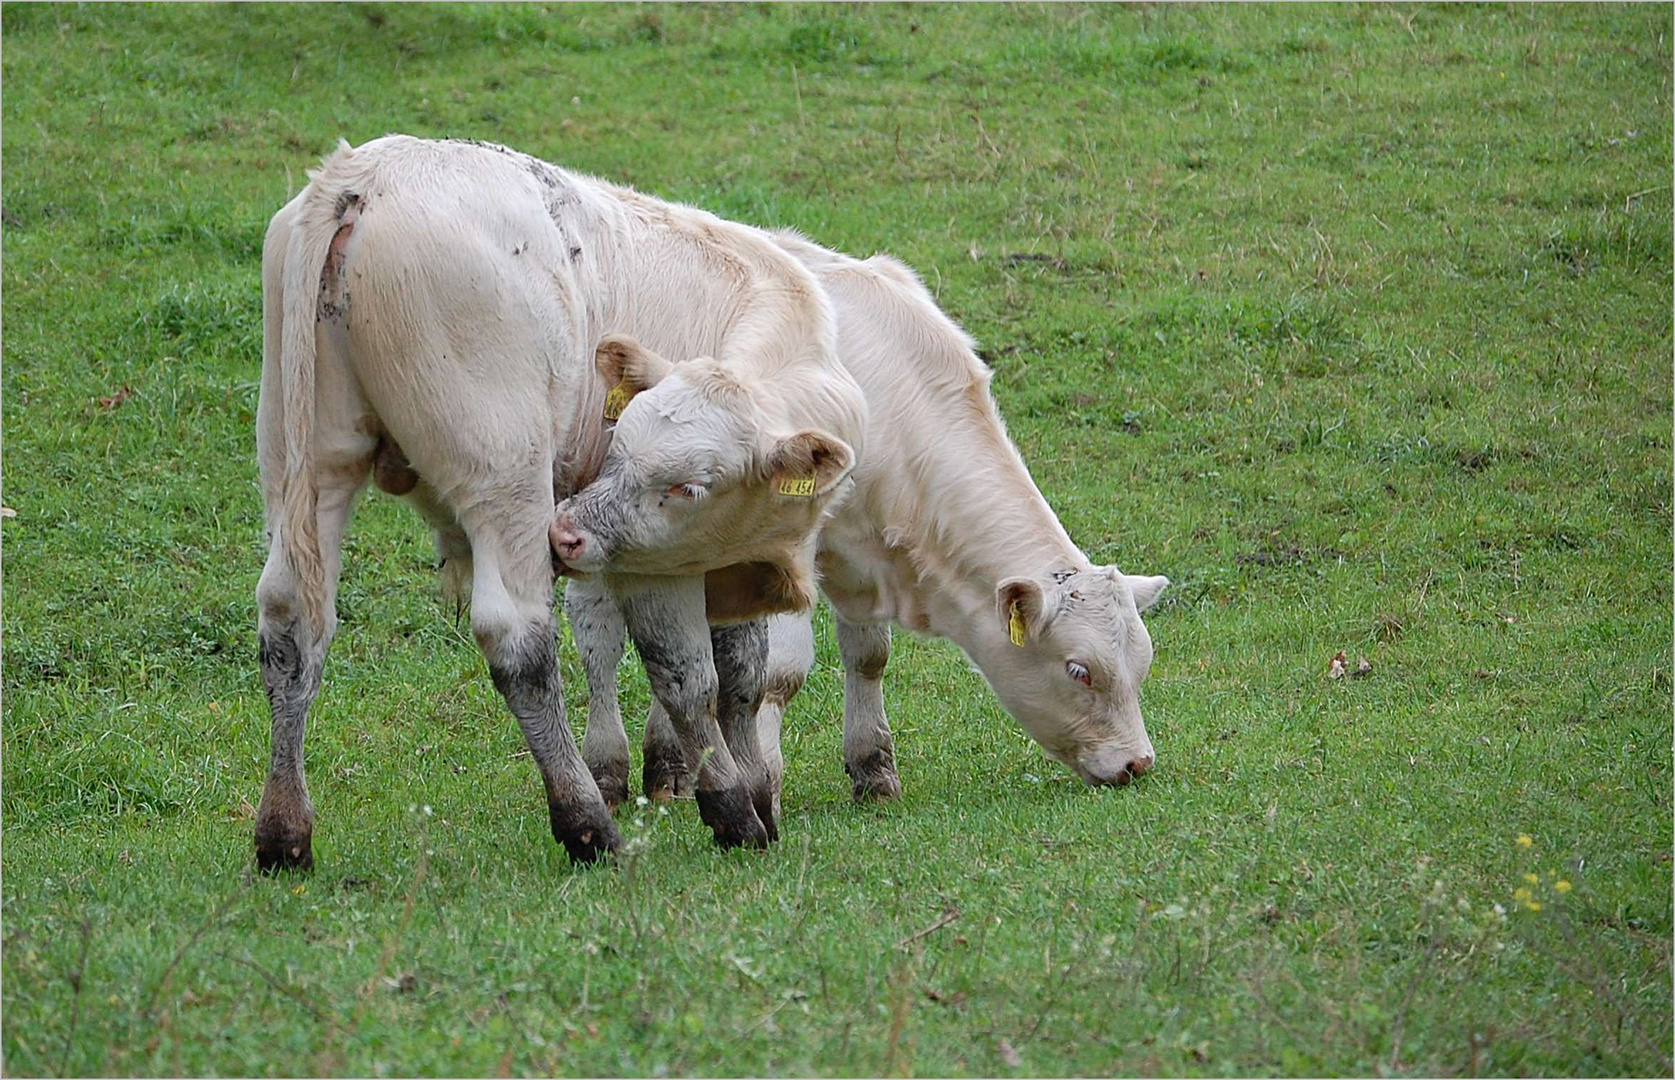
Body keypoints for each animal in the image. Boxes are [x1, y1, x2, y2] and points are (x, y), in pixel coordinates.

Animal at [257, 137, 877, 870]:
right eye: (676, 483)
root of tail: (360, 177)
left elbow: (737, 674)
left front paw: (747, 790)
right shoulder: (659, 556)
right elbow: (690, 677)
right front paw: (734, 806)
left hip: (303, 462)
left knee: (291, 625)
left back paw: (282, 833)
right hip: (504, 478)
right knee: (517, 641)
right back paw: (585, 822)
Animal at [569, 231, 1172, 813]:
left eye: (1142, 664)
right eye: (1079, 669)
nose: (1137, 762)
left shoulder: (858, 558)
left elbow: (868, 655)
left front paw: (873, 769)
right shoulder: (789, 549)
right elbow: (780, 673)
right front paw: (767, 780)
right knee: (599, 644)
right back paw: (607, 772)